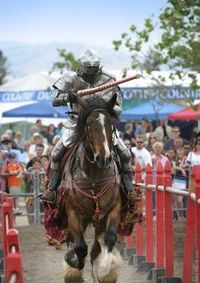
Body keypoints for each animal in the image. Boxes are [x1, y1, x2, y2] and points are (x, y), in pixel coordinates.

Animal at [61, 95, 125, 283]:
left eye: (110, 123)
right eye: (89, 124)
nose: (104, 158)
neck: (94, 178)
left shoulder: (113, 208)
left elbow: (109, 238)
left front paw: (106, 271)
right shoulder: (73, 213)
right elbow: (80, 247)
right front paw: (73, 264)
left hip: (98, 221)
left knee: (96, 247)